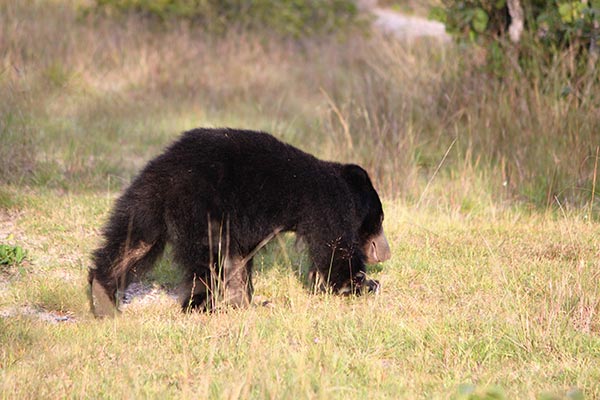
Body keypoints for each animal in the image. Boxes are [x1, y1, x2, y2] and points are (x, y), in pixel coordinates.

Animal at [88, 128, 390, 316]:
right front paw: (364, 284)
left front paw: (244, 302)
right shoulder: (327, 205)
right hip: (202, 207)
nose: (386, 252)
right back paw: (204, 305)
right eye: (380, 219)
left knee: (133, 243)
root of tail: (167, 174)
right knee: (208, 259)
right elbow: (334, 253)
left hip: (146, 201)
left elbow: (240, 261)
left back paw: (102, 294)